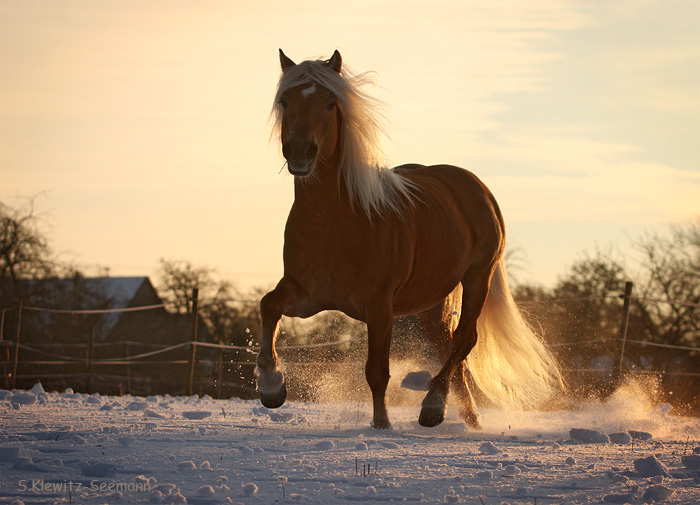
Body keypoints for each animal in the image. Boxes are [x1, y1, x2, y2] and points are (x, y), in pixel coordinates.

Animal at [258, 49, 564, 430]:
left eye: (330, 103)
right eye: (285, 101)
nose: (300, 151)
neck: (334, 221)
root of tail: (476, 187)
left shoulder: (379, 306)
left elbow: (377, 371)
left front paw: (382, 425)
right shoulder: (305, 294)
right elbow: (268, 306)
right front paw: (271, 387)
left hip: (478, 277)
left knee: (465, 339)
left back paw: (432, 407)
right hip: (431, 302)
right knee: (451, 348)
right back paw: (468, 419)